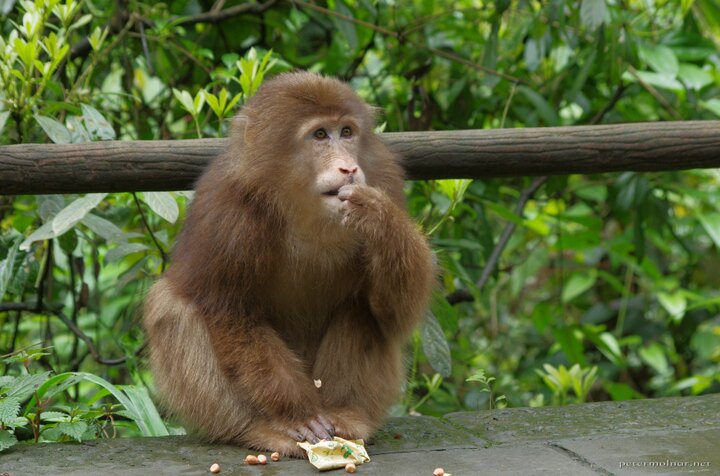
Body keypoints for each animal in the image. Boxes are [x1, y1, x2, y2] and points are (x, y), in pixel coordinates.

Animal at [141, 71, 434, 458]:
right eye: (320, 135)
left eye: (347, 132)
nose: (349, 167)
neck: (300, 204)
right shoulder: (230, 213)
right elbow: (229, 312)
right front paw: (298, 415)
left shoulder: (384, 178)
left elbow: (392, 312)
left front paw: (379, 218)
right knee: (170, 307)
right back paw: (260, 429)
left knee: (360, 308)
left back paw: (346, 415)